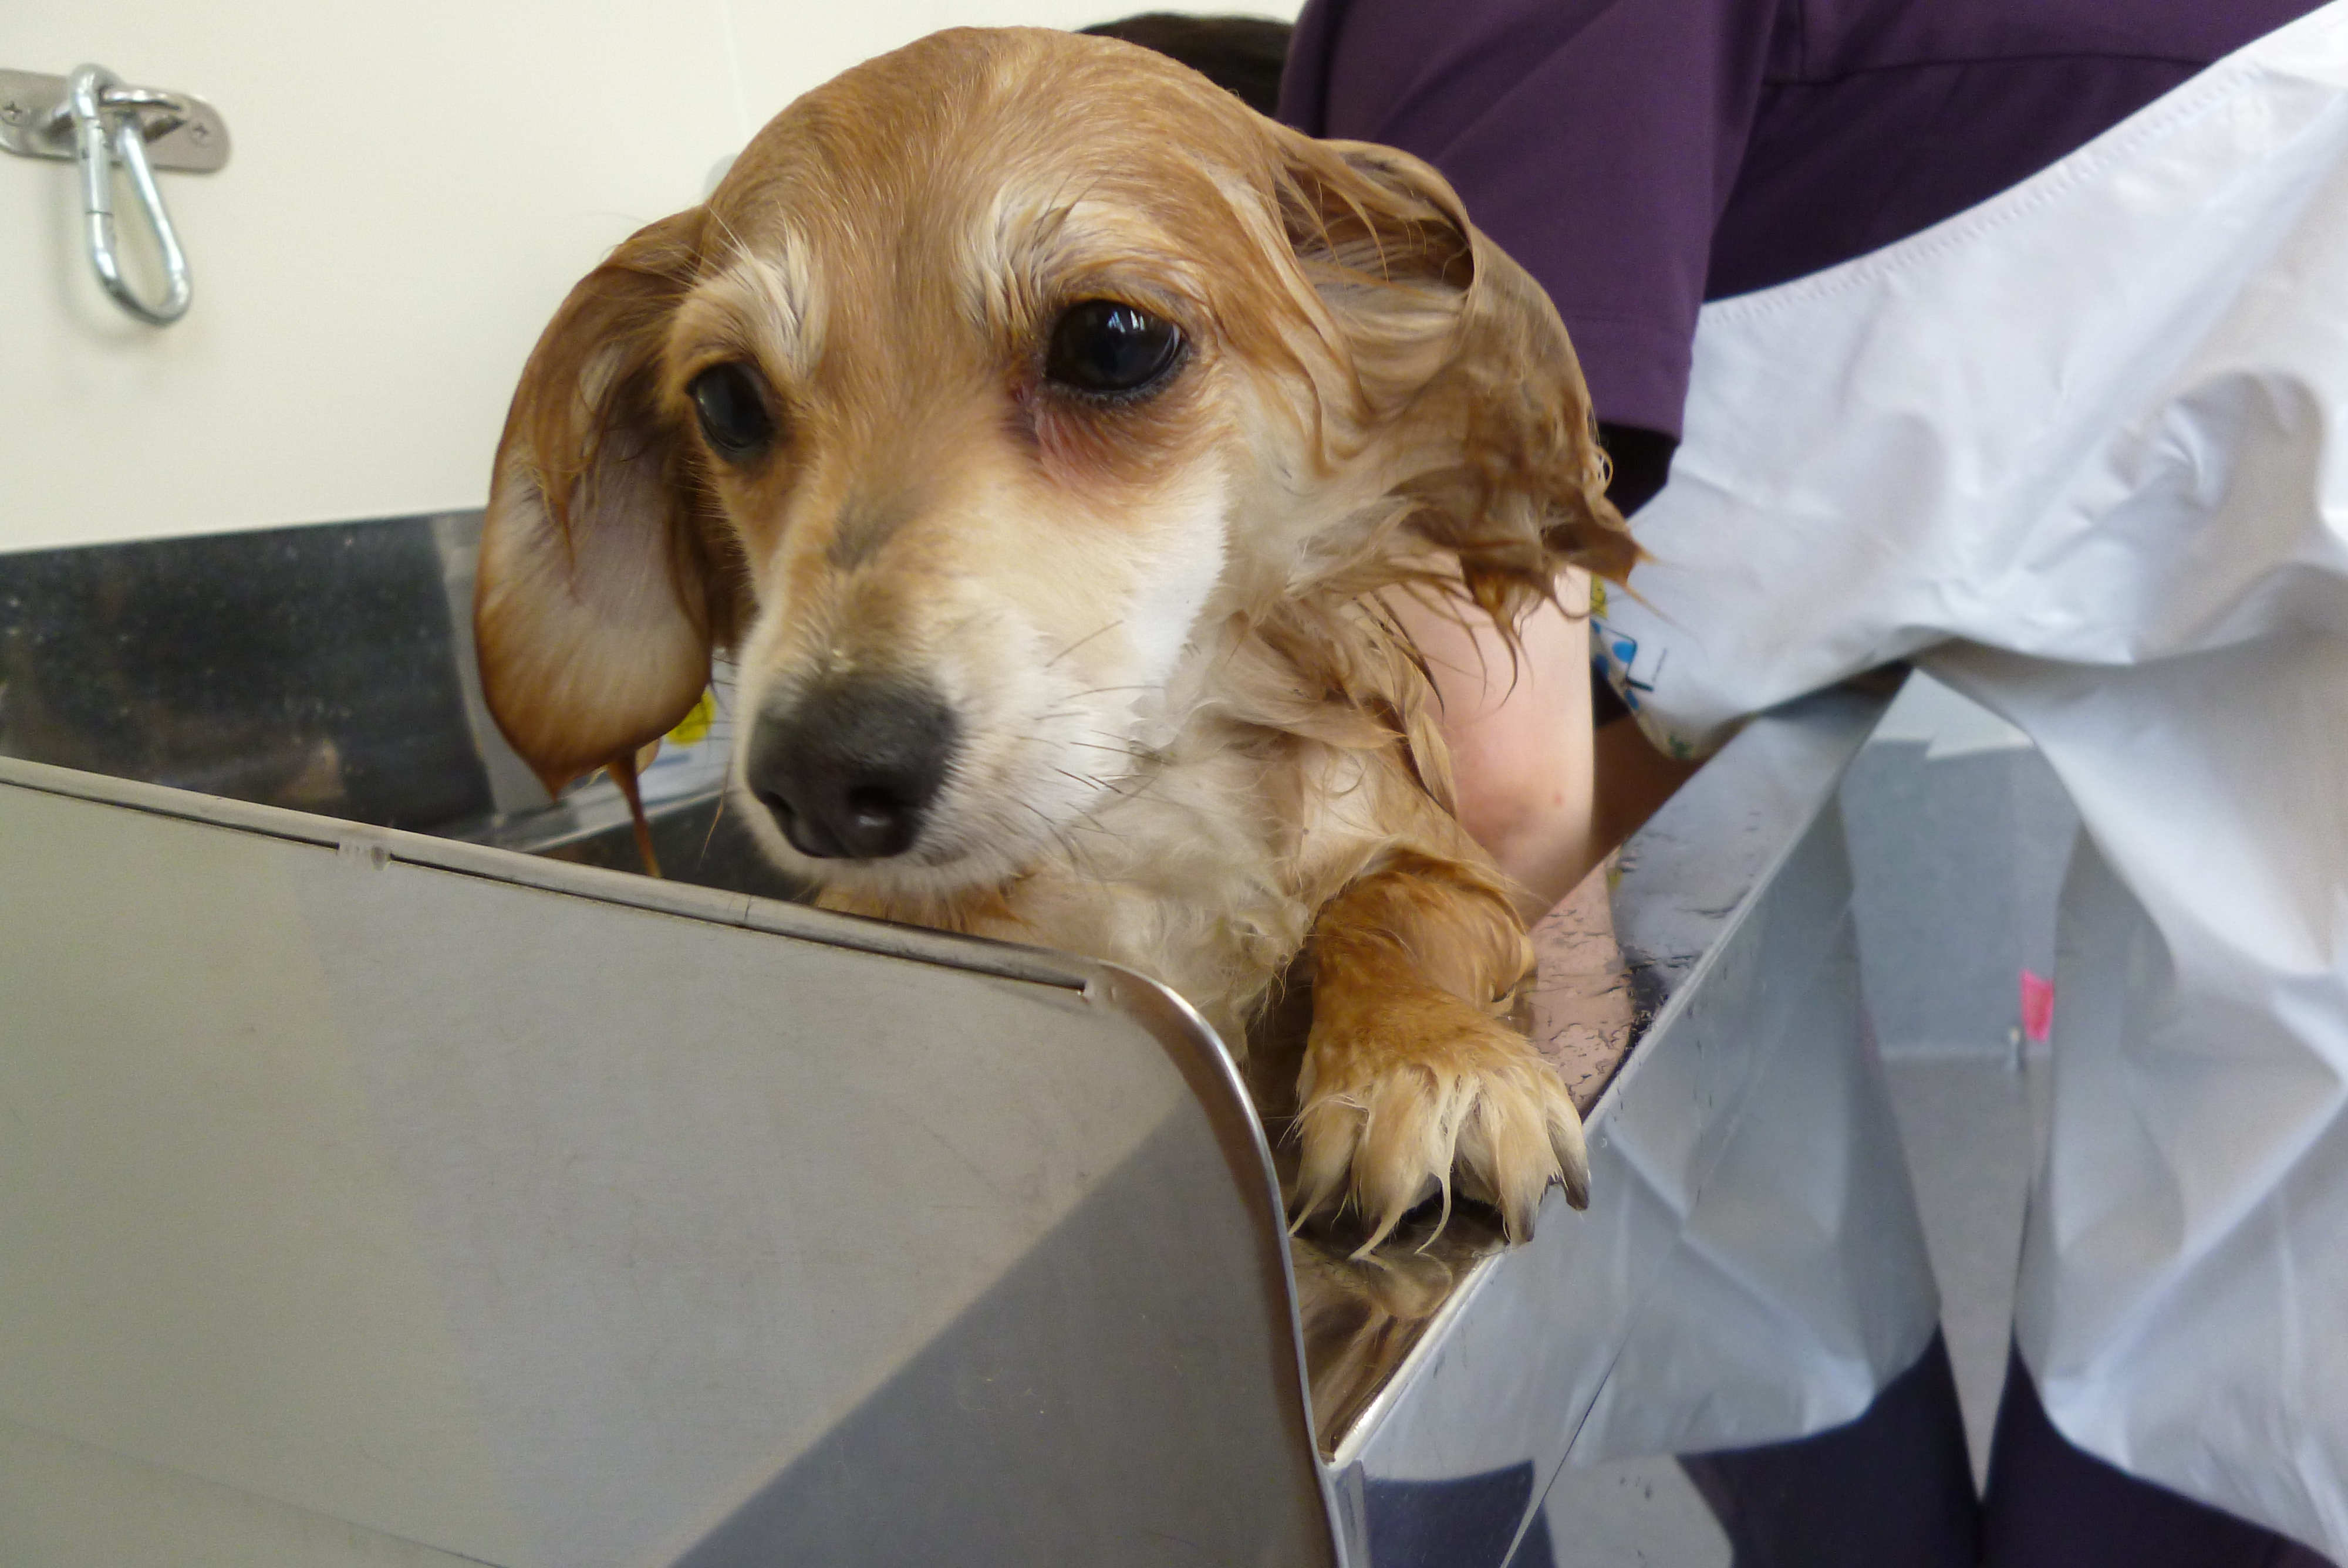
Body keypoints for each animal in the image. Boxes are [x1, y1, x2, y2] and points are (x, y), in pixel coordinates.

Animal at [473, 26, 1635, 1255]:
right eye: (728, 401)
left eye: (1112, 341)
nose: (825, 775)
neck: (1142, 814)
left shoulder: (1449, 864)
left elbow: (1387, 910)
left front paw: (1430, 1059)